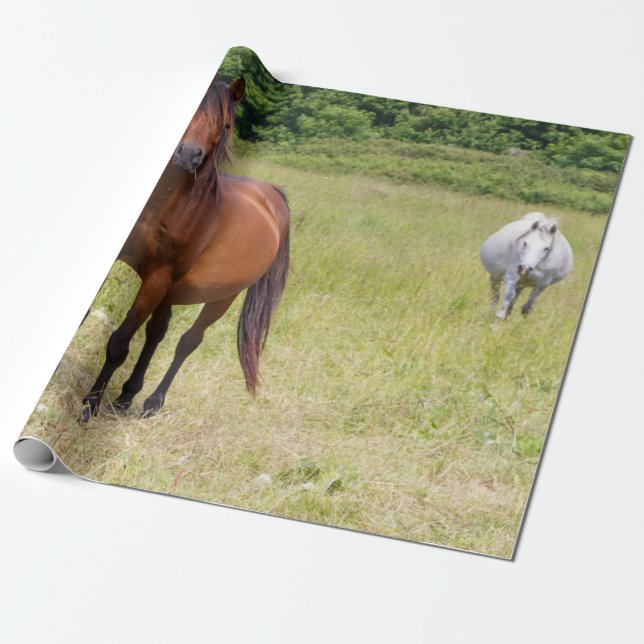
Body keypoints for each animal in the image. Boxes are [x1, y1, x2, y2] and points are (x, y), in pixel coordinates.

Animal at [80, 76, 290, 422]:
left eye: (226, 124)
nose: (188, 155)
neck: (167, 205)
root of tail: (270, 198)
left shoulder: (157, 278)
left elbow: (119, 343)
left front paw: (89, 405)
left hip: (219, 298)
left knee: (187, 341)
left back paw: (151, 402)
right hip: (172, 291)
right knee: (157, 332)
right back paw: (125, 397)